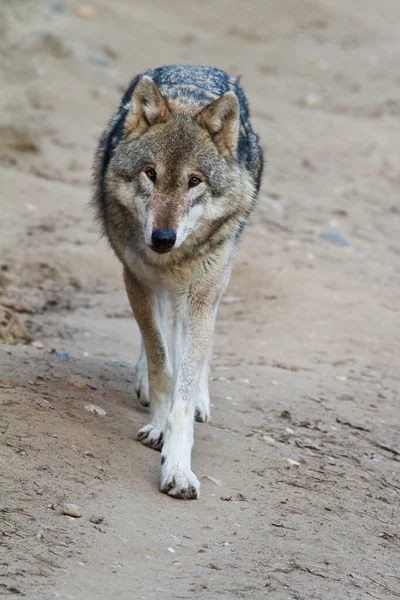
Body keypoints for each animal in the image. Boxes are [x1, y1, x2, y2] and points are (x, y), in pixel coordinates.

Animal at [92, 63, 264, 500]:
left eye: (194, 181)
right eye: (151, 174)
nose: (163, 238)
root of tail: (197, 66)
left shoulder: (199, 295)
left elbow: (183, 394)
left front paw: (178, 466)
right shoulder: (137, 279)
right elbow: (160, 361)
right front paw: (157, 423)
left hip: (217, 280)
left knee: (199, 344)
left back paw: (202, 397)